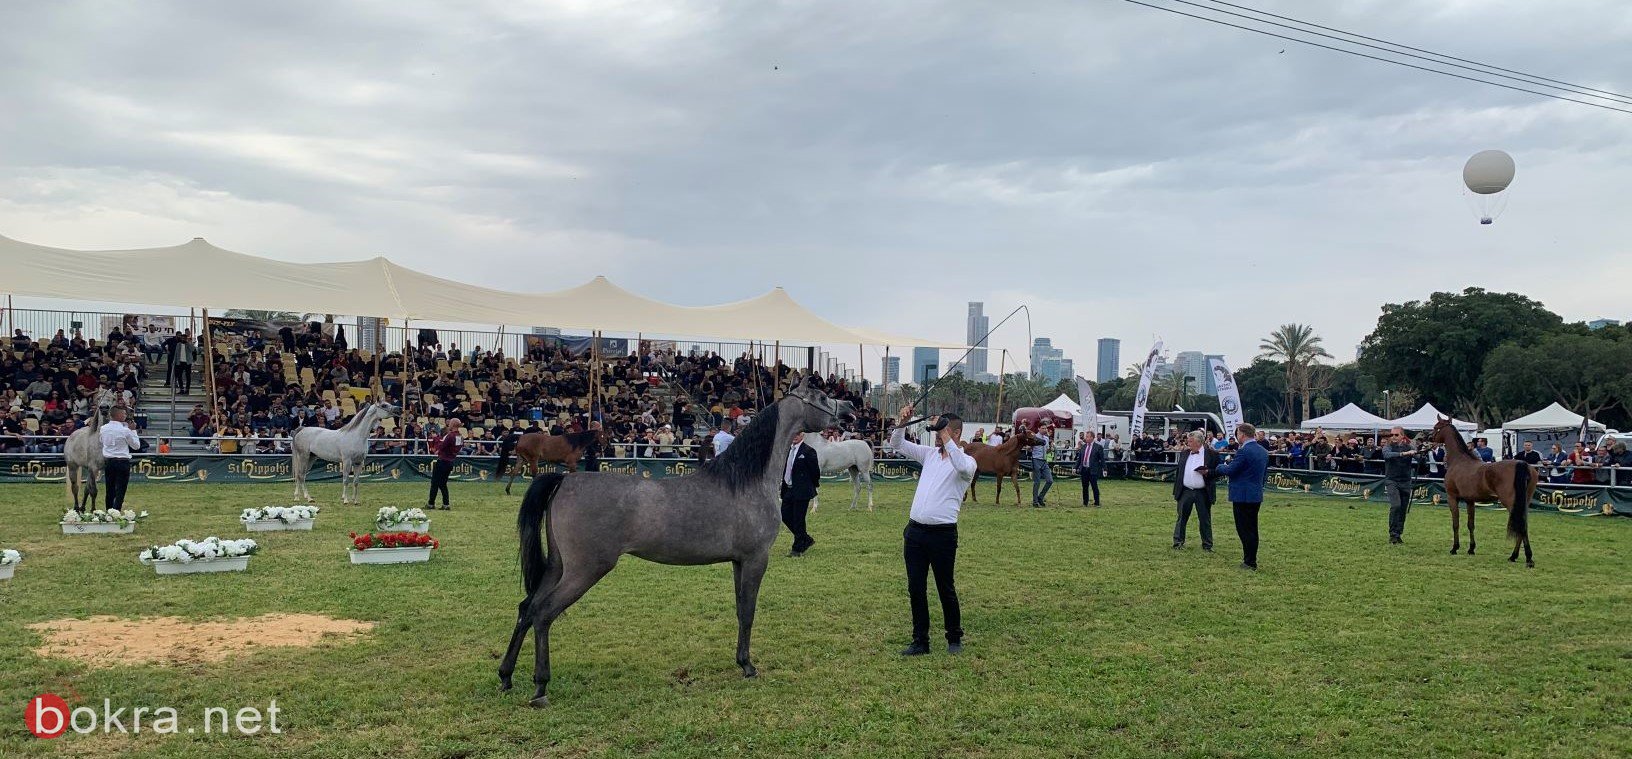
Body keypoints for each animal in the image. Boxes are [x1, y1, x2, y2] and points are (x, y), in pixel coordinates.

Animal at [492, 377, 855, 705]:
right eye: (822, 396)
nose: (851, 410)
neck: (744, 481)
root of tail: (564, 481)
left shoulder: (739, 561)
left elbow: (741, 610)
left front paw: (741, 661)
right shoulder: (756, 559)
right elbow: (750, 612)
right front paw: (749, 666)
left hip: (557, 566)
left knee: (527, 608)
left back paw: (506, 676)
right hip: (585, 570)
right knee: (544, 614)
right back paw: (540, 687)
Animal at [1423, 414, 1534, 568]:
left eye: (1436, 427)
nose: (1428, 439)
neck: (1459, 461)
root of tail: (1521, 464)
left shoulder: (1452, 498)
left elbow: (1455, 524)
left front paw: (1454, 548)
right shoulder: (1470, 501)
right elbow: (1471, 525)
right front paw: (1471, 549)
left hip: (1511, 503)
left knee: (1521, 527)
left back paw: (1527, 558)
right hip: (1523, 503)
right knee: (1523, 525)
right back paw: (1514, 556)